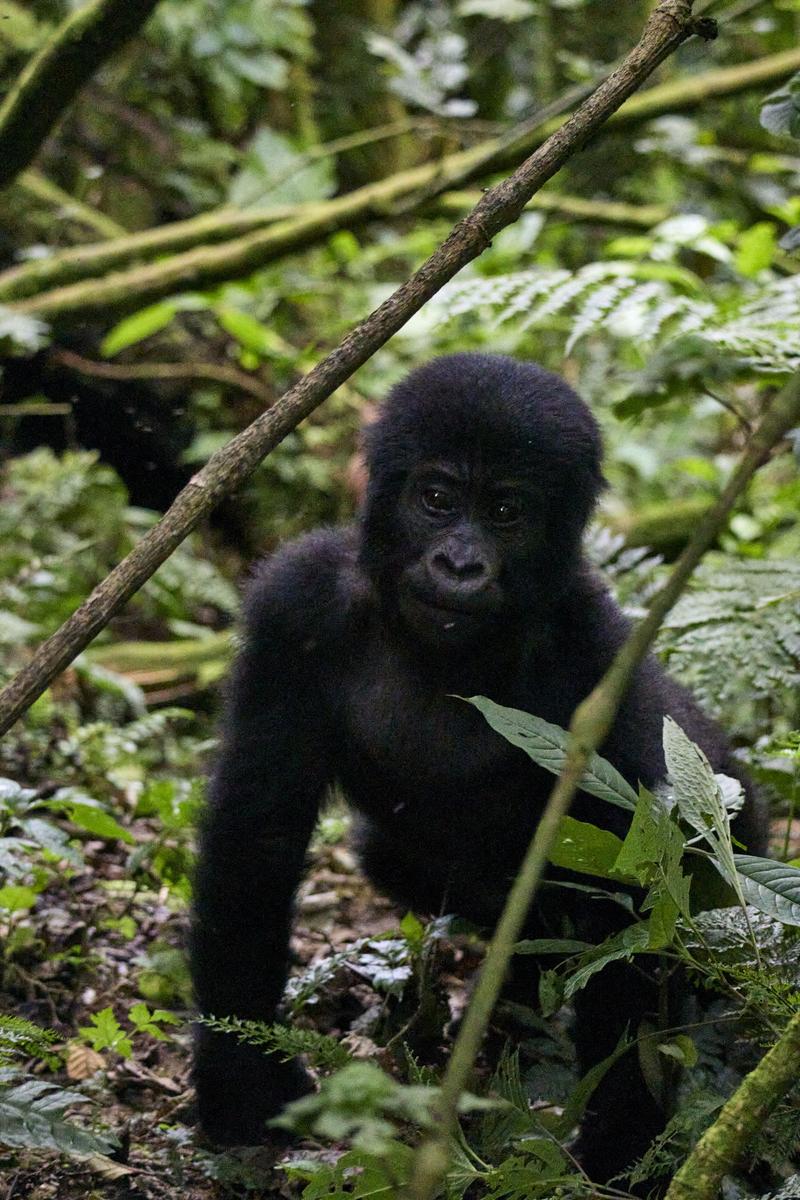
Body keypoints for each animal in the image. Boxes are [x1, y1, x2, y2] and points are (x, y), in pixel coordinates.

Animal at [190, 352, 767, 1180]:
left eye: (505, 512)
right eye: (435, 499)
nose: (459, 564)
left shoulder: (596, 655)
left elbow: (634, 892)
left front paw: (622, 1145)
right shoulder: (295, 605)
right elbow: (257, 835)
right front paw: (238, 1080)